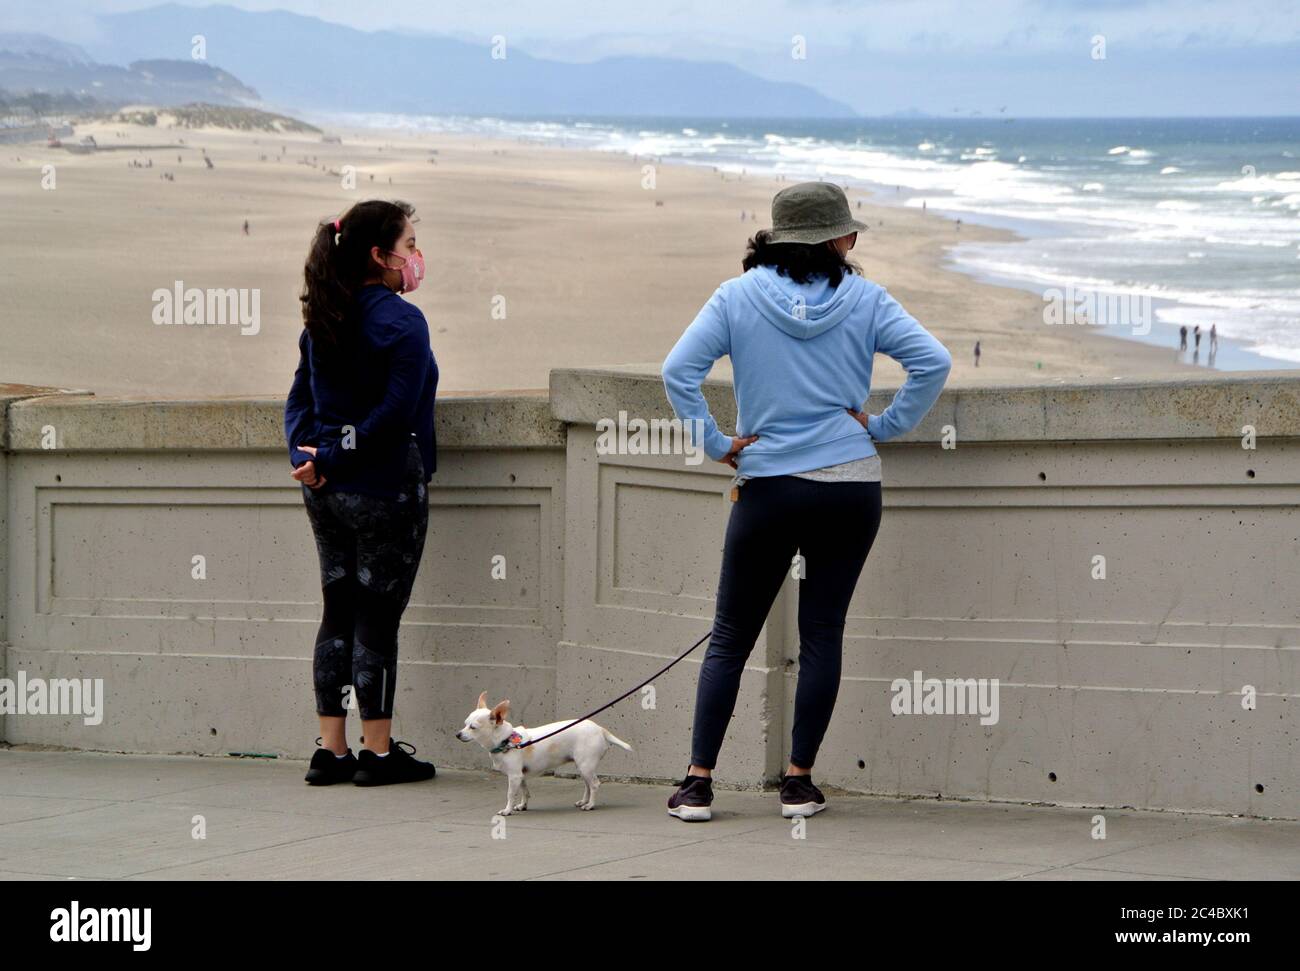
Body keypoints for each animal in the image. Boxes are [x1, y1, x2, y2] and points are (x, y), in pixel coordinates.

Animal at [460, 691, 631, 811]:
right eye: (465, 724)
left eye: (473, 727)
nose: (458, 734)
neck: (505, 741)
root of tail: (600, 729)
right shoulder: (521, 776)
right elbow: (525, 791)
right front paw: (522, 806)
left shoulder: (514, 776)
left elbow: (510, 794)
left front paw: (507, 810)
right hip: (583, 766)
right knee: (587, 785)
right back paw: (584, 801)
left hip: (585, 766)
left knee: (594, 784)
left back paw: (590, 805)